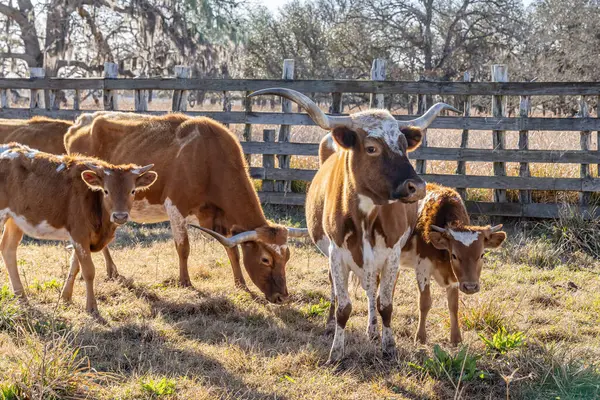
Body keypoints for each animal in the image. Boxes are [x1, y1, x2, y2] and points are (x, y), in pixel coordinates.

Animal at [0, 142, 157, 318]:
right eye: (106, 191)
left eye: (132, 191)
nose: (120, 216)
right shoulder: (79, 234)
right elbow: (88, 270)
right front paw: (92, 307)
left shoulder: (79, 237)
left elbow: (74, 266)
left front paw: (66, 297)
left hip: (15, 219)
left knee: (8, 249)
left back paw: (21, 297)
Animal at [64, 111, 310, 304]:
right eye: (265, 260)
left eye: (287, 257)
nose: (282, 297)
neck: (209, 160)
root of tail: (80, 122)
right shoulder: (176, 208)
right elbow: (183, 248)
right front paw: (185, 283)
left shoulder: (220, 219)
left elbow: (232, 251)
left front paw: (240, 284)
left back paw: (111, 270)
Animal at [250, 89, 460, 364]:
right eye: (371, 148)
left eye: (404, 147)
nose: (417, 187)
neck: (366, 217)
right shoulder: (337, 254)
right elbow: (344, 306)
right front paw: (336, 352)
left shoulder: (391, 254)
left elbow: (385, 304)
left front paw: (388, 346)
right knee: (336, 289)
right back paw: (331, 324)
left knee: (373, 290)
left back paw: (372, 329)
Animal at [398, 184, 506, 344]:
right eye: (454, 255)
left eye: (482, 254)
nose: (471, 287)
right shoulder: (422, 267)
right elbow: (424, 302)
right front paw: (420, 337)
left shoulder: (455, 278)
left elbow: (453, 305)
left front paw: (456, 338)